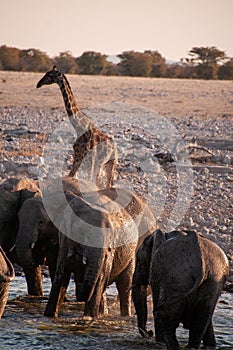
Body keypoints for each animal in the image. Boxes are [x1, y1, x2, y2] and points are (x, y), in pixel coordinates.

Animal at [43, 187, 157, 318]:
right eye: (82, 232)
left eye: (110, 237)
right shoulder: (65, 239)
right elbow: (61, 275)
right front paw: (49, 316)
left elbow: (100, 278)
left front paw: (89, 318)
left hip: (132, 251)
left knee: (124, 284)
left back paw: (124, 316)